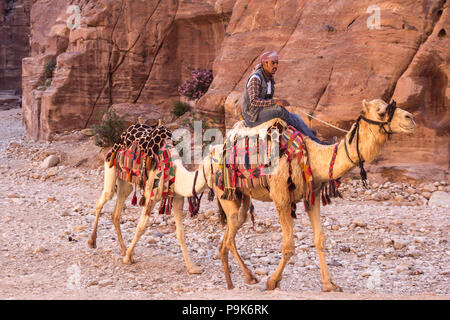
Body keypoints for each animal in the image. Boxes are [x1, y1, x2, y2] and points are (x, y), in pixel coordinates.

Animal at [89, 146, 215, 274]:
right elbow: (141, 228)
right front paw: (127, 258)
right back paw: (92, 242)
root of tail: (111, 149)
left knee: (116, 212)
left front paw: (192, 268)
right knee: (102, 200)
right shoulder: (151, 194)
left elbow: (180, 233)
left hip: (124, 182)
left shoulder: (178, 198)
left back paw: (124, 250)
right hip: (110, 168)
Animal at [213, 99, 416, 292]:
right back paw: (247, 278)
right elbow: (289, 247)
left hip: (243, 196)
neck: (312, 155)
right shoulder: (281, 197)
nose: (410, 118)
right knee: (231, 229)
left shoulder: (313, 195)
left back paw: (233, 282)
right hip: (224, 191)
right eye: (381, 112)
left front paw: (329, 285)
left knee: (233, 229)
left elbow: (320, 240)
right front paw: (272, 282)